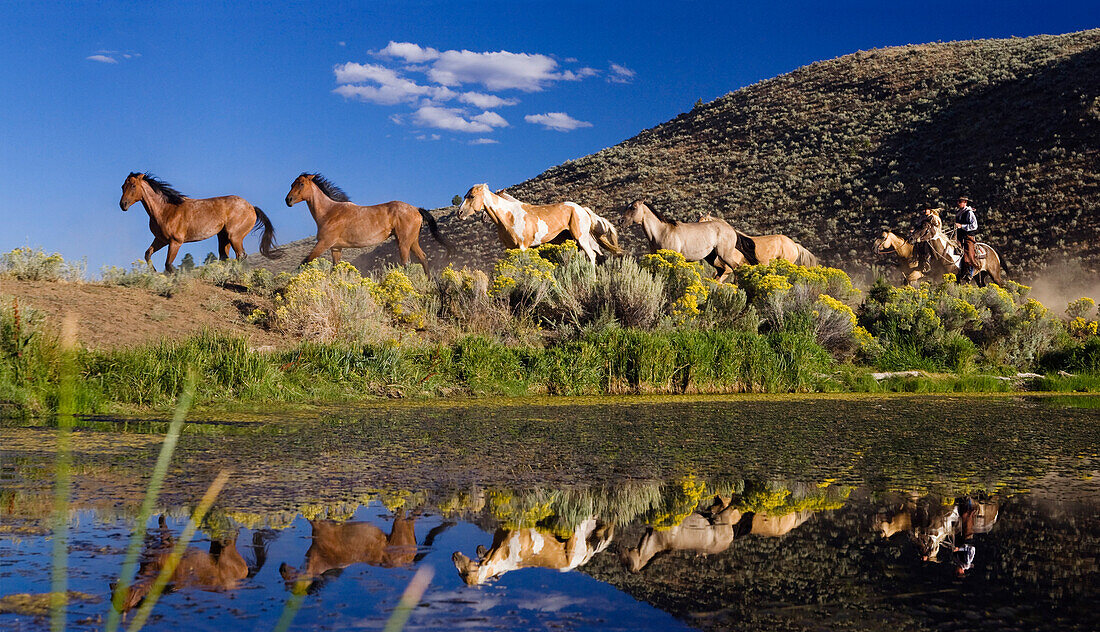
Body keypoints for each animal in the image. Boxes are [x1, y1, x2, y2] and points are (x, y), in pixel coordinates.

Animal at [288, 173, 455, 272]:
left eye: (301, 184)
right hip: (412, 241)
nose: (287, 200)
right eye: (292, 184)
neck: (330, 212)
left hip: (404, 242)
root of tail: (416, 209)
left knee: (406, 263)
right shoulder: (336, 248)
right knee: (423, 258)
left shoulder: (323, 243)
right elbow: (335, 269)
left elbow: (303, 263)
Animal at [455, 184, 624, 263]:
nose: (459, 213)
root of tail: (582, 209)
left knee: (592, 256)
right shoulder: (510, 248)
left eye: (471, 196)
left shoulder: (522, 247)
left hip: (581, 239)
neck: (509, 216)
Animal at [620, 202, 748, 281]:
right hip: (712, 257)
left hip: (724, 255)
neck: (661, 232)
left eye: (633, 207)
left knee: (736, 268)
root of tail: (731, 229)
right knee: (721, 272)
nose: (621, 221)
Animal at [875, 230, 1007, 287]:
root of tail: (992, 250)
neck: (909, 254)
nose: (874, 247)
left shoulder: (918, 273)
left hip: (994, 274)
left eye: (883, 237)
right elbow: (907, 282)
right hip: (980, 275)